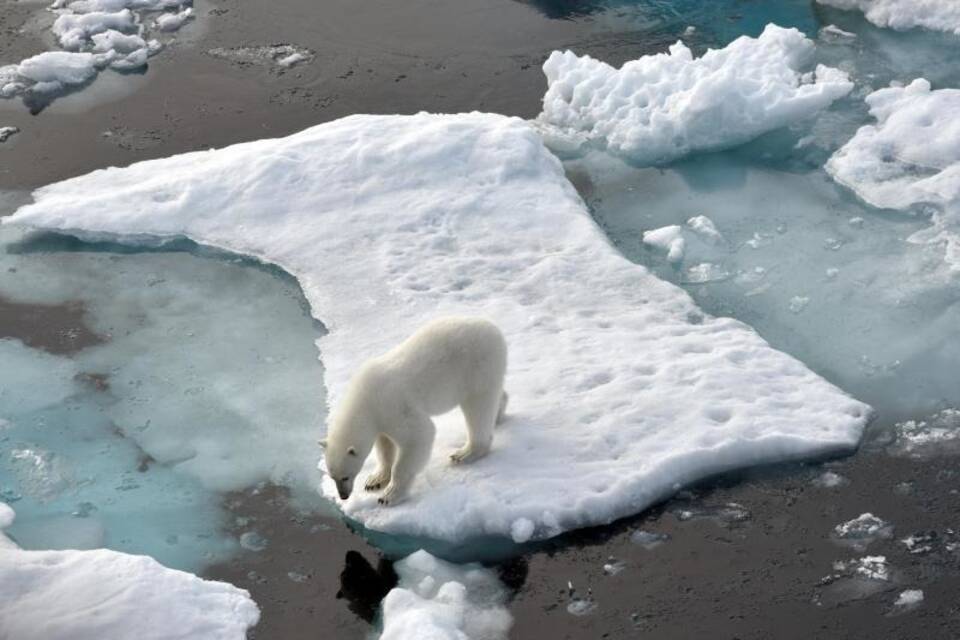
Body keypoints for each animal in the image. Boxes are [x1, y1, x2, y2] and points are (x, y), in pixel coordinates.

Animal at [320, 316, 506, 504]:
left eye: (345, 476)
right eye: (332, 476)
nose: (343, 496)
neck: (365, 397)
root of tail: (493, 329)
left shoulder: (393, 405)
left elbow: (419, 435)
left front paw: (389, 495)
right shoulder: (380, 418)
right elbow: (385, 446)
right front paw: (375, 480)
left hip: (477, 366)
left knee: (478, 407)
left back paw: (465, 453)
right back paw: (498, 414)